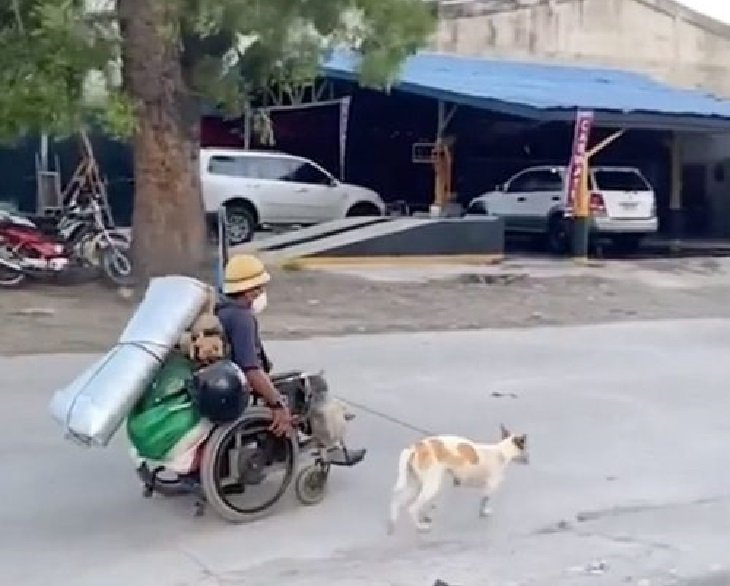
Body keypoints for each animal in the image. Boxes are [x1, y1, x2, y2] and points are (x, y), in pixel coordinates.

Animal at [386, 422, 528, 532]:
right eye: (525, 448)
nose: (529, 459)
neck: (501, 452)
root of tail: (415, 447)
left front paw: (429, 515)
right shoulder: (490, 486)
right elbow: (484, 500)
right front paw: (484, 512)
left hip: (414, 485)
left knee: (396, 501)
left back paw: (392, 523)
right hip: (431, 486)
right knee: (412, 508)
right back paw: (420, 527)